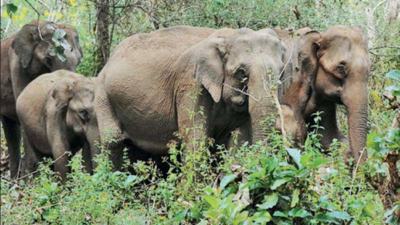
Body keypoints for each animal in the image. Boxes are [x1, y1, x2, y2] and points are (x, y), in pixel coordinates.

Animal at [95, 25, 292, 169]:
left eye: (281, 72)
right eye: (242, 72)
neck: (227, 37)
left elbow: (240, 139)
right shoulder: (190, 83)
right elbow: (195, 137)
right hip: (103, 94)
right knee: (113, 140)